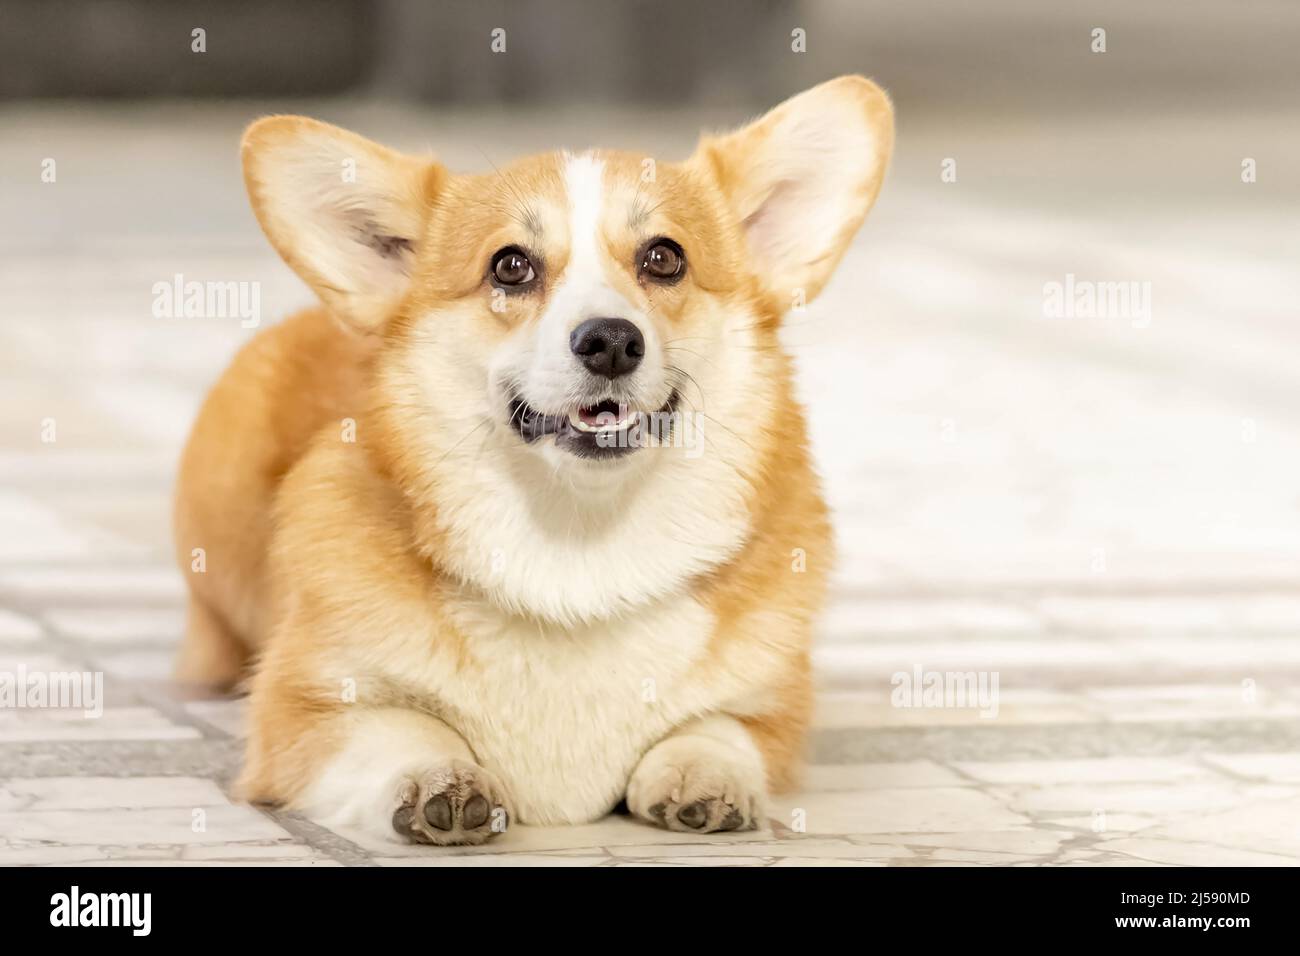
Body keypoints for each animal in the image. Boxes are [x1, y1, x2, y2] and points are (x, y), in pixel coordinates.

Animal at [172, 76, 894, 842]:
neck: (579, 542)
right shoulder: (300, 714)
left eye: (664, 257)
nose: (611, 341)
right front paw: (437, 778)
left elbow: (722, 728)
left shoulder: (774, 712)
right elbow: (400, 728)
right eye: (511, 265)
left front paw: (705, 772)